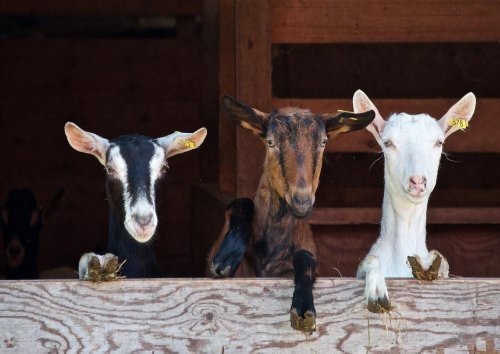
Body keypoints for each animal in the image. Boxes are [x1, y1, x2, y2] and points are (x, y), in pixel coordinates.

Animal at [356, 90, 476, 312]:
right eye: (387, 143)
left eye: (439, 142)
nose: (418, 181)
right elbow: (370, 261)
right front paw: (377, 292)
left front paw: (429, 264)